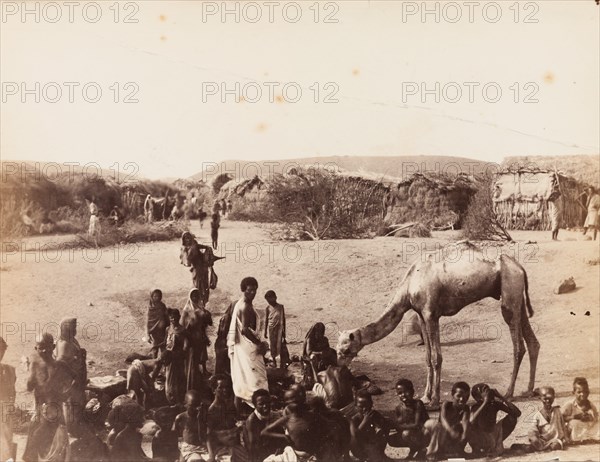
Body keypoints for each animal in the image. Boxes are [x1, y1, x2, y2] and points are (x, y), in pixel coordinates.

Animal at [338, 242, 540, 408]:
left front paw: (434, 400)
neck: (409, 285)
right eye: (338, 349)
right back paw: (528, 390)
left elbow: (437, 358)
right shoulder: (421, 315)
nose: (339, 367)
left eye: (345, 350)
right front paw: (425, 396)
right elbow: (427, 357)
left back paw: (509, 393)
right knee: (533, 342)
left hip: (509, 293)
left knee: (518, 346)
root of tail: (519, 267)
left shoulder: (431, 314)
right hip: (518, 298)